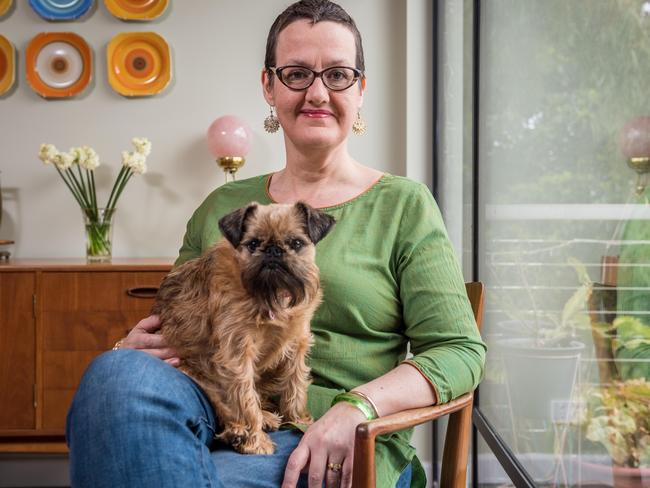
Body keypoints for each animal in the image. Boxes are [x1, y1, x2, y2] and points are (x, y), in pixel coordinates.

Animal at [151, 200, 334, 456]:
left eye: (296, 243)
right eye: (254, 243)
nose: (273, 250)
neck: (271, 295)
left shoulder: (297, 344)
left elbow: (295, 385)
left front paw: (299, 420)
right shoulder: (237, 353)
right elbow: (245, 399)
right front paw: (255, 440)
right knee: (226, 403)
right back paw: (241, 430)